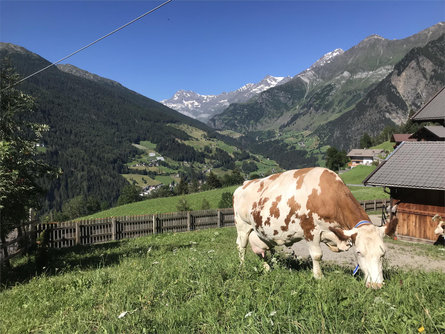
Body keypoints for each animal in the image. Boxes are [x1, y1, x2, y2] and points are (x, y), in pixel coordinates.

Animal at [234, 168, 398, 288]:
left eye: (383, 254)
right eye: (359, 252)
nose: (376, 286)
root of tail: (243, 184)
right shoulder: (310, 230)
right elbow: (317, 255)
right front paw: (318, 277)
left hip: (259, 232)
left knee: (261, 250)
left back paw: (267, 268)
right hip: (242, 226)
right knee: (241, 246)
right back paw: (242, 267)